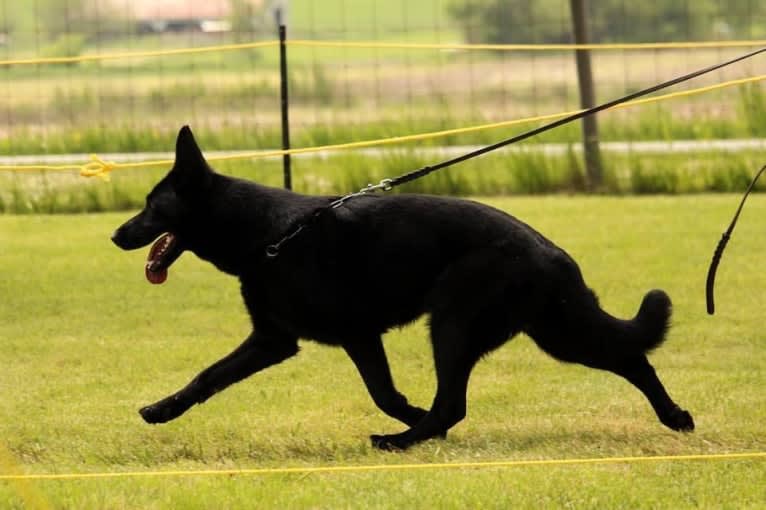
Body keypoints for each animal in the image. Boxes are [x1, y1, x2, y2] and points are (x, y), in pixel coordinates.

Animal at [112, 127, 696, 450]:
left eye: (151, 206)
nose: (115, 235)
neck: (269, 233)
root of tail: (550, 250)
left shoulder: (355, 336)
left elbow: (385, 394)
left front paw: (411, 421)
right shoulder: (274, 340)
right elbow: (208, 376)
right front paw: (162, 409)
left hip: (455, 324)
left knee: (453, 404)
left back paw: (404, 441)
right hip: (554, 330)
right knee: (630, 357)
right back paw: (676, 417)